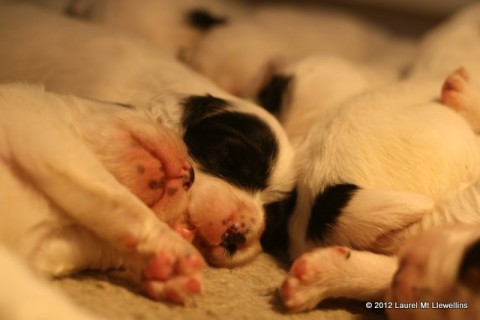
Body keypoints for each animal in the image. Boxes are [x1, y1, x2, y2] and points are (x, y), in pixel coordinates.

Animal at [0, 83, 202, 320]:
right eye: (129, 106)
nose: (192, 175)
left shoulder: (43, 250)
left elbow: (94, 244)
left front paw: (167, 270)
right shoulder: (51, 140)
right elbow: (124, 201)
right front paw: (177, 247)